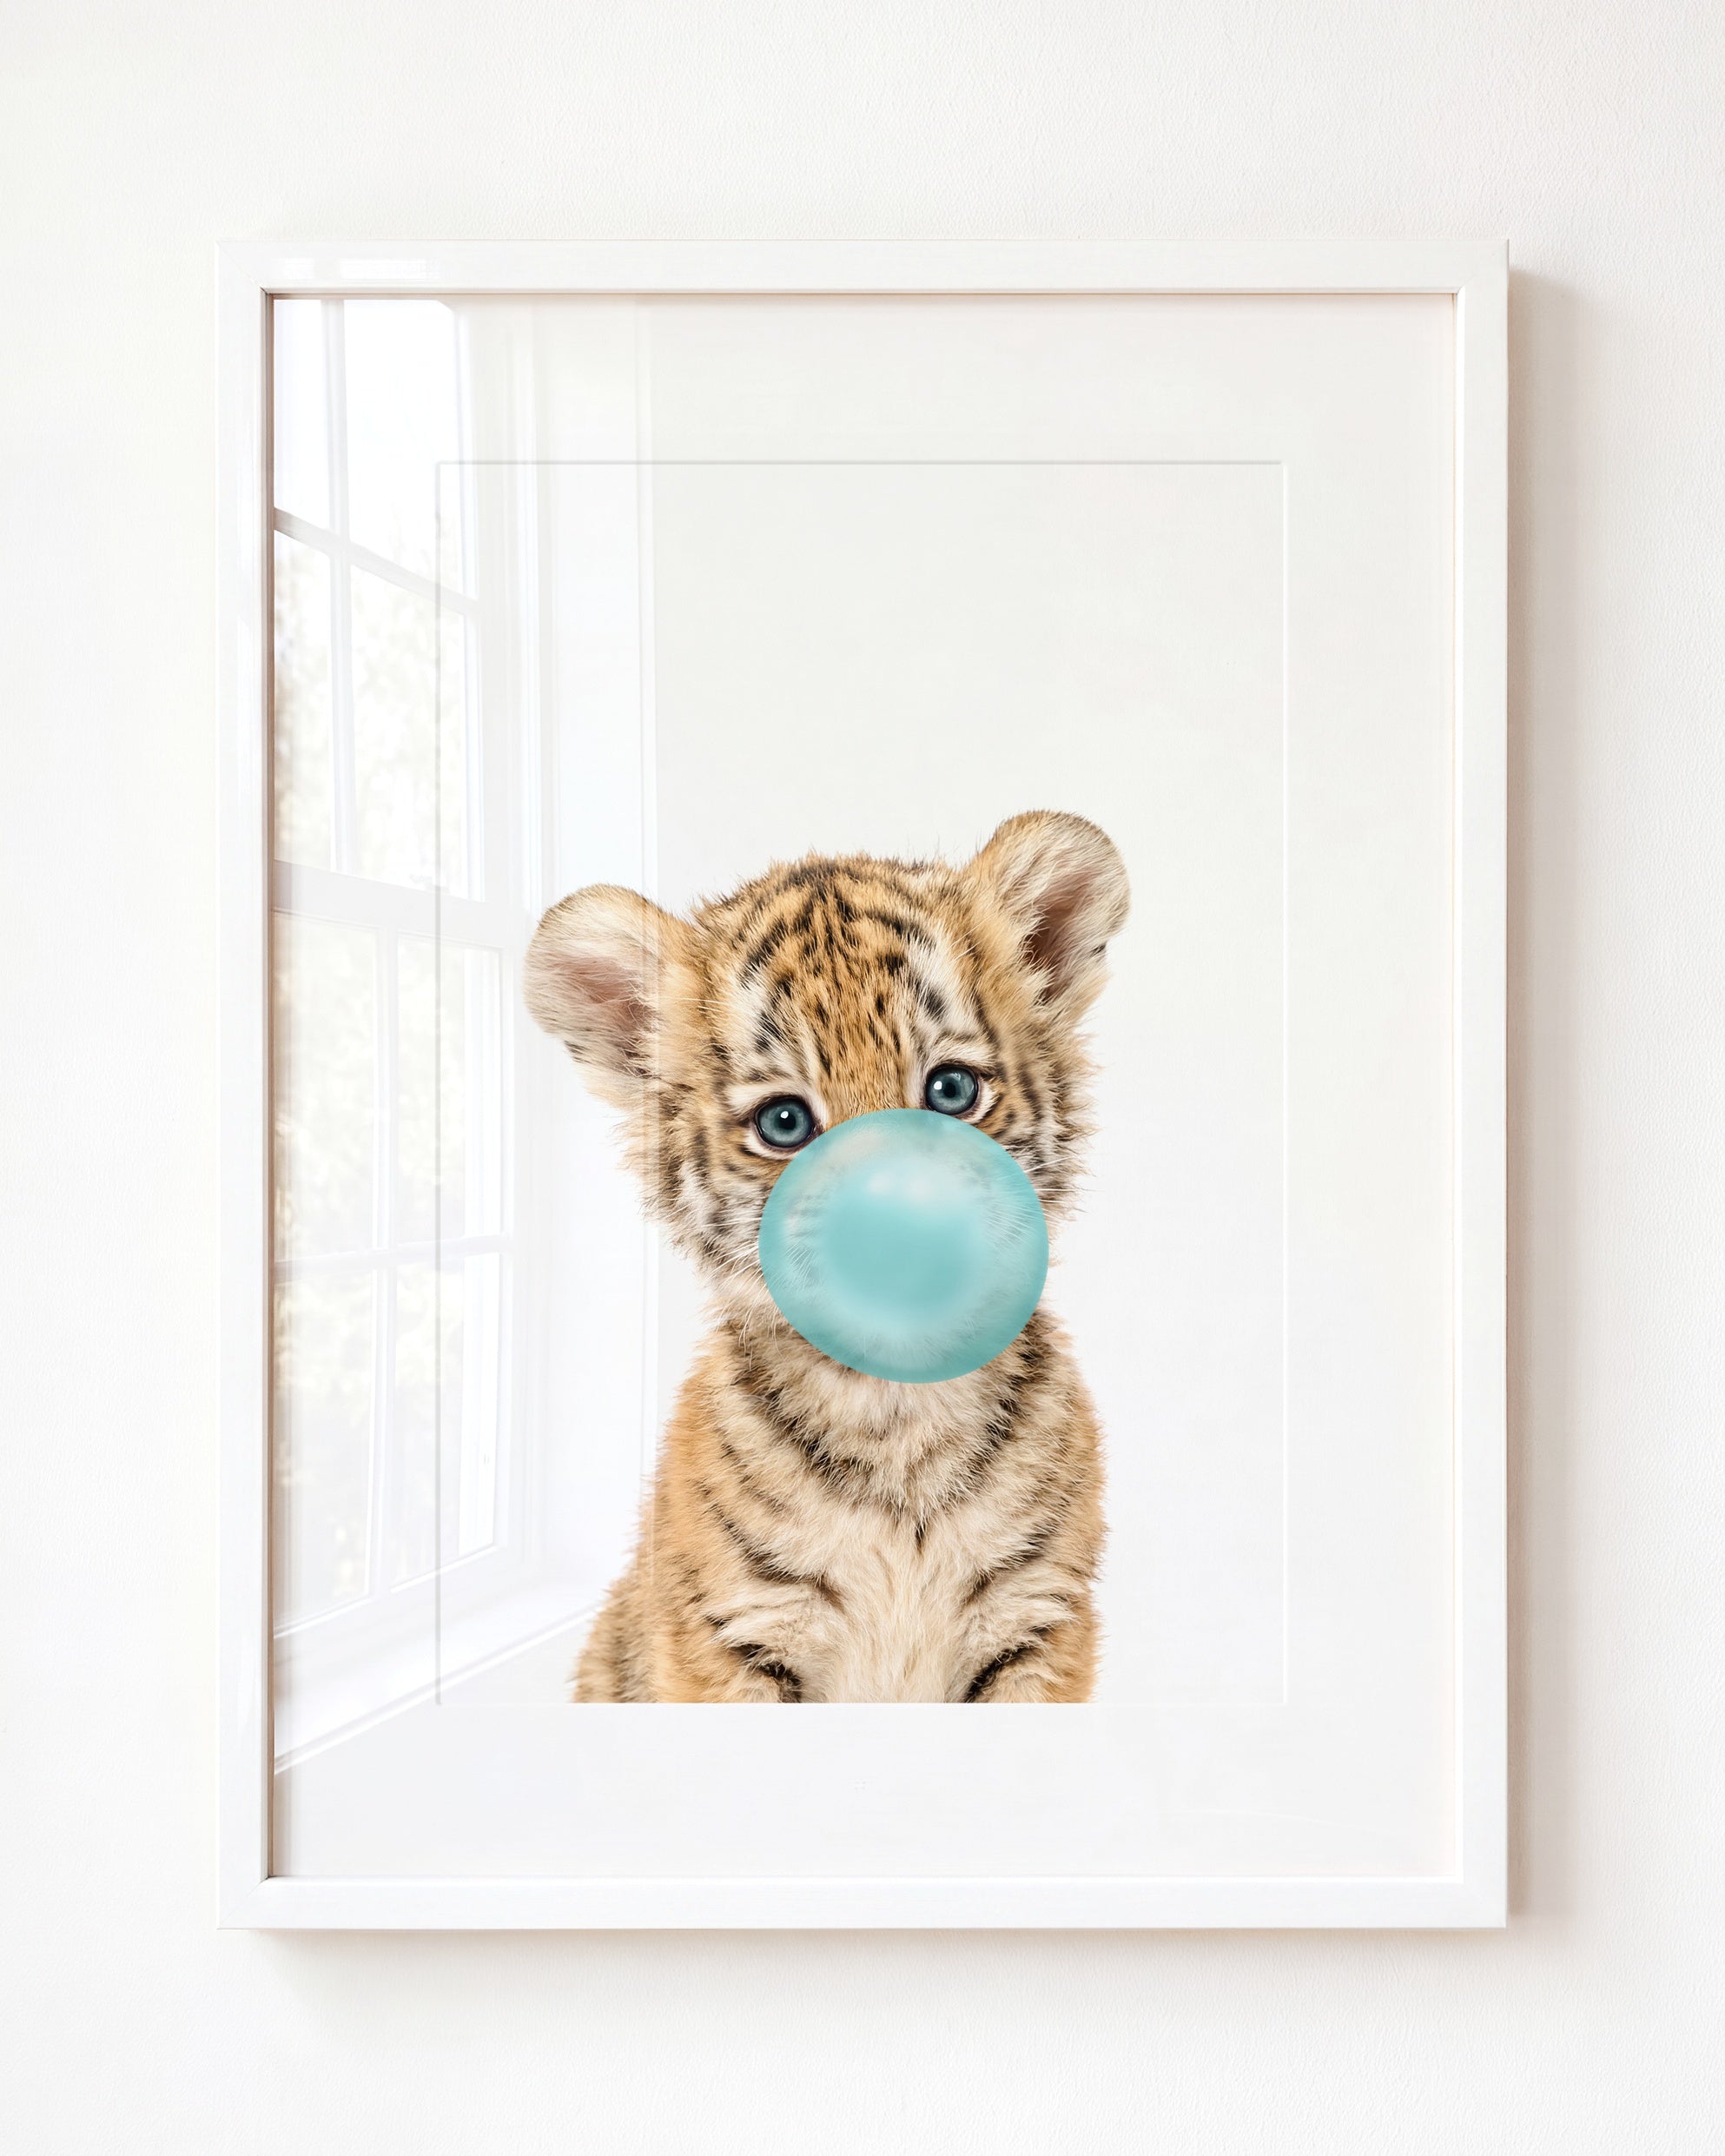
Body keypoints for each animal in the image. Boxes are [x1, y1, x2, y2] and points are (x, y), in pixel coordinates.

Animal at [523, 809, 1129, 1703]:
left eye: (951, 1090)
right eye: (784, 1122)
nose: (899, 1230)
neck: (900, 1415)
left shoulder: (1038, 1620)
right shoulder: (731, 1636)